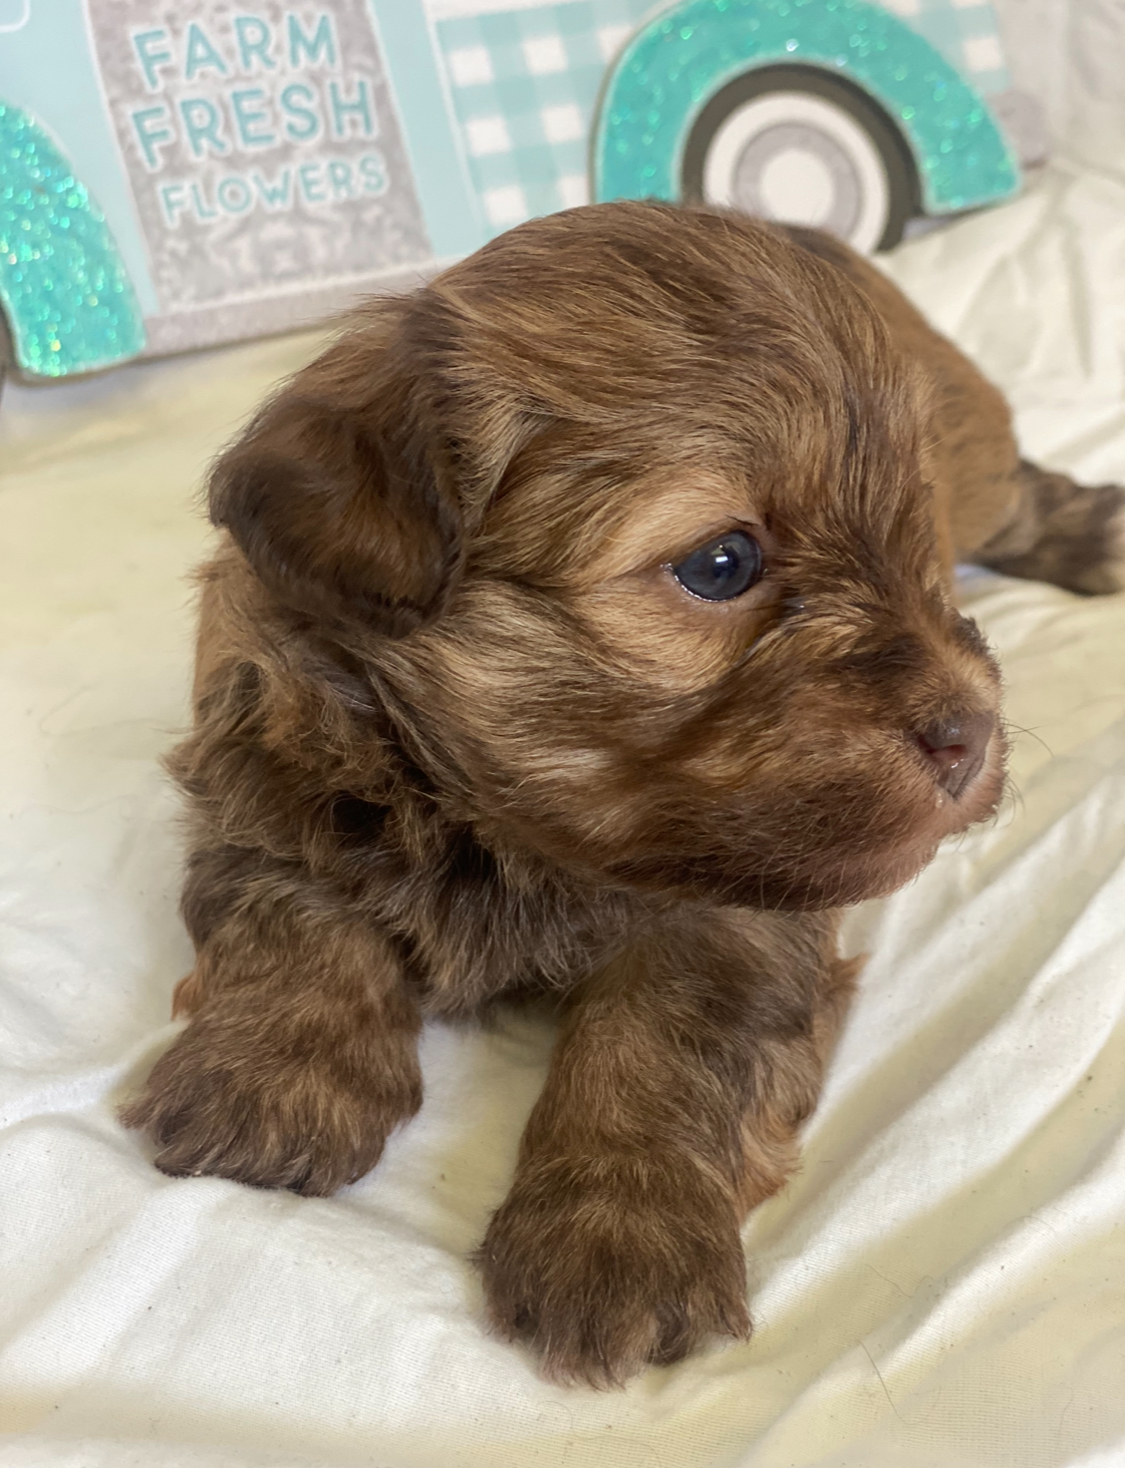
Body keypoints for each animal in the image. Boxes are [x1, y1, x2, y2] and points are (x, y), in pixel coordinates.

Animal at [121, 204, 1125, 1385]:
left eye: (909, 545)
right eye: (723, 561)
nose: (969, 733)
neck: (506, 824)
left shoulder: (740, 913)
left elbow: (662, 1041)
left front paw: (618, 1230)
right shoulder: (267, 770)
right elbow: (294, 916)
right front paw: (270, 1075)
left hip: (974, 453)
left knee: (1018, 489)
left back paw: (1091, 532)